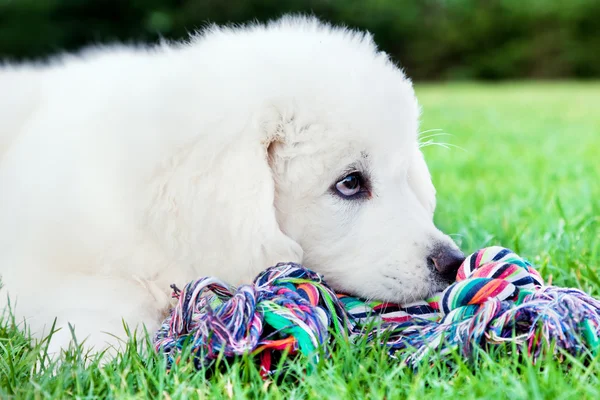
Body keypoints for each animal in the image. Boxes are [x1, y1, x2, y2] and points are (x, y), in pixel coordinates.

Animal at [0, 15, 464, 356]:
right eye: (350, 183)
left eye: (404, 177)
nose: (453, 263)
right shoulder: (37, 265)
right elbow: (109, 296)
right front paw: (90, 355)